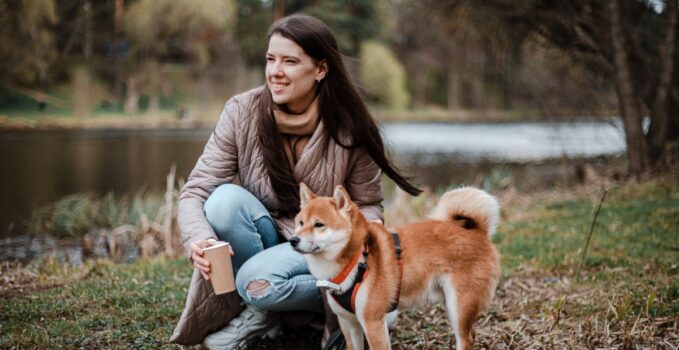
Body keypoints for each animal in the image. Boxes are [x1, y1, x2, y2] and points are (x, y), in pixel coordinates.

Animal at [290, 185, 502, 348]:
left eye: (319, 224)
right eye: (300, 223)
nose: (293, 240)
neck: (356, 260)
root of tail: (478, 233)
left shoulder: (373, 323)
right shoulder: (349, 324)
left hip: (459, 308)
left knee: (466, 338)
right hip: (449, 304)